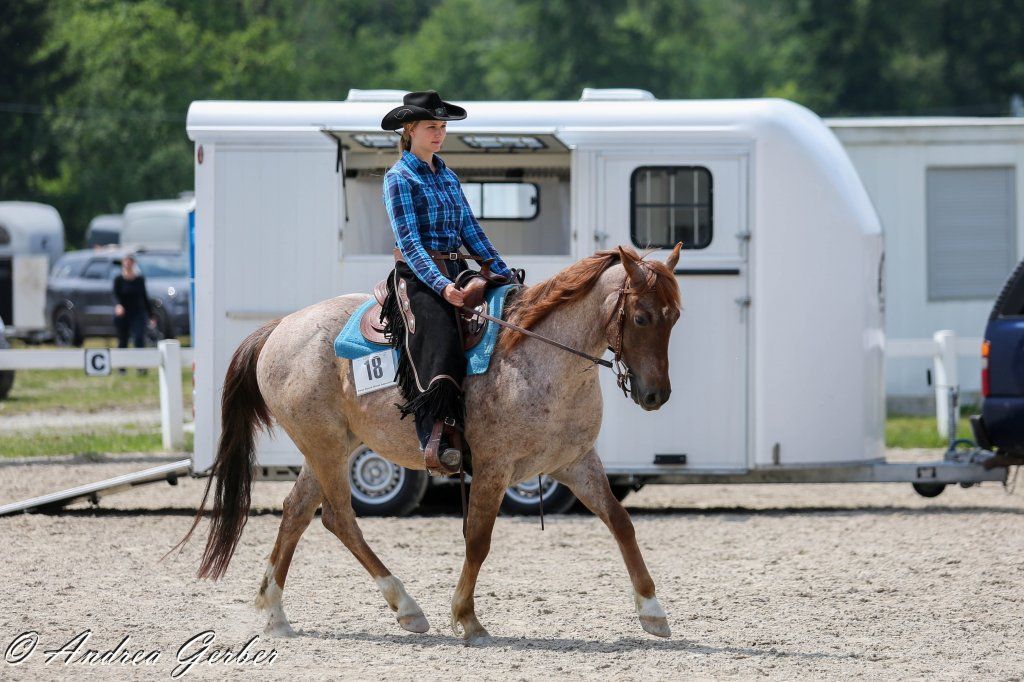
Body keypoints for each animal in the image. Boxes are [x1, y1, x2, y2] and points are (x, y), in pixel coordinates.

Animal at [176, 243, 683, 644]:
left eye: (674, 316)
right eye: (640, 317)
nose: (656, 395)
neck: (539, 356)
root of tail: (280, 327)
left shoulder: (576, 462)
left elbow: (621, 523)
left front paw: (653, 612)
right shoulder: (494, 468)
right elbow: (478, 540)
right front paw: (467, 619)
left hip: (328, 448)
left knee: (297, 513)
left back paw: (275, 613)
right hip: (325, 448)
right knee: (340, 519)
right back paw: (406, 607)